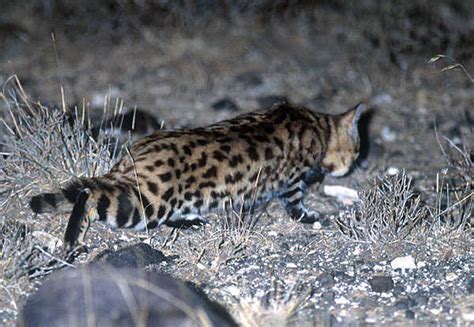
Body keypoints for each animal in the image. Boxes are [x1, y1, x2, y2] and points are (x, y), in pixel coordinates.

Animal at [29, 102, 364, 251]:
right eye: (359, 147)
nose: (356, 164)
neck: (316, 126)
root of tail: (130, 155)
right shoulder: (292, 181)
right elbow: (294, 203)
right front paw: (309, 216)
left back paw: (190, 220)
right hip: (144, 203)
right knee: (89, 194)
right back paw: (72, 237)